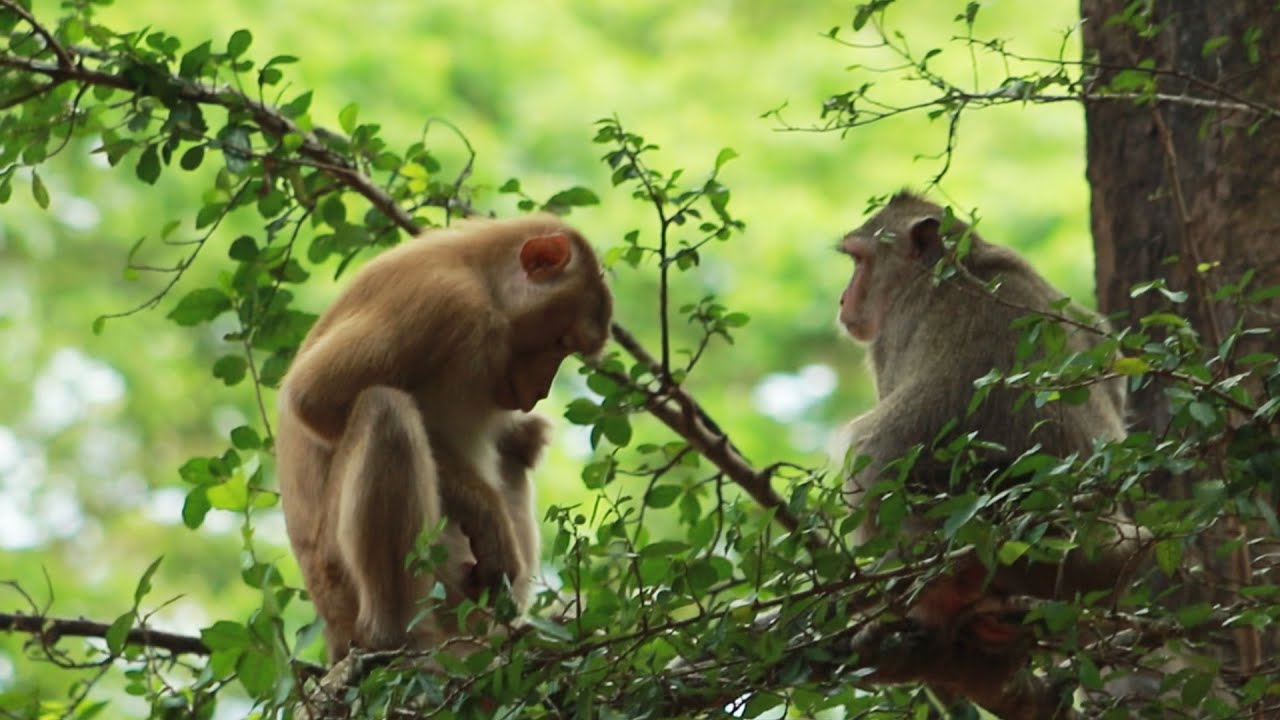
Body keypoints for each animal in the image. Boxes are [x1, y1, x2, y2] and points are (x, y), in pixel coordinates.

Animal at [275, 215, 612, 664]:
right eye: (561, 341)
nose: (539, 389)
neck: (480, 273)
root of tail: (332, 628)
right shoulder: (443, 303)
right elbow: (316, 399)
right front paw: (488, 518)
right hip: (343, 578)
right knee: (385, 410)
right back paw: (396, 638)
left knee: (516, 451)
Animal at [834, 192, 1145, 717]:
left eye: (860, 261)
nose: (843, 299)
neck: (957, 261)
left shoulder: (894, 329)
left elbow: (878, 455)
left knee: (867, 448)